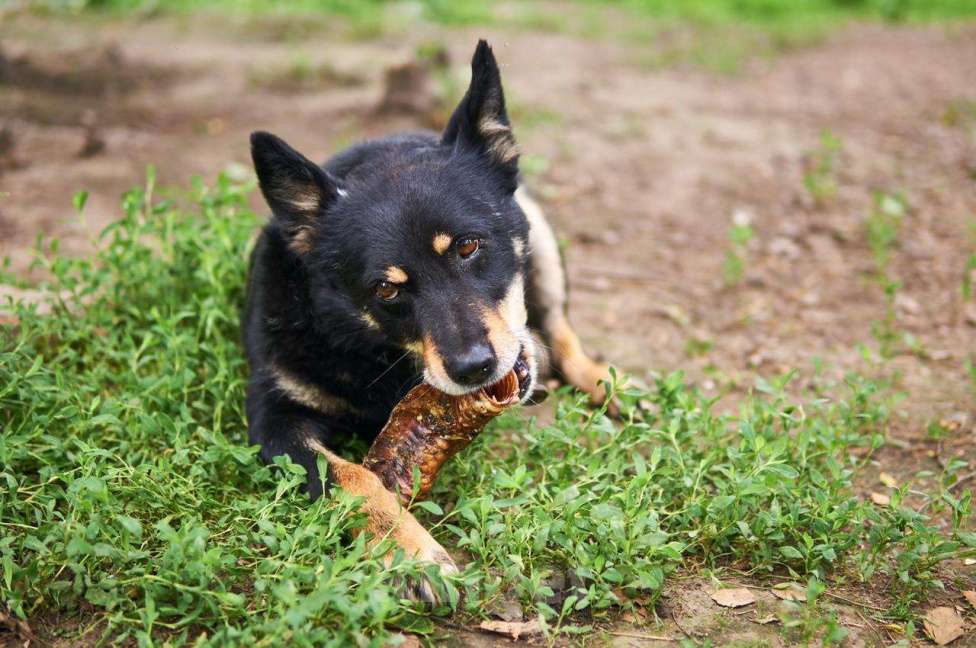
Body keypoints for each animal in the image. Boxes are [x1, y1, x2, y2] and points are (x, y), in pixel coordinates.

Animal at [242, 40, 608, 604]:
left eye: (469, 246)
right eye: (387, 289)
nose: (474, 368)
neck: (377, 354)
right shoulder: (274, 418)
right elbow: (349, 476)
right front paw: (410, 551)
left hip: (542, 234)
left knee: (561, 330)